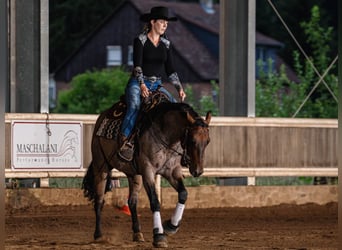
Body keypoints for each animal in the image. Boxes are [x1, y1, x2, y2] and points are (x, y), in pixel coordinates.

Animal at [83, 96, 211, 248]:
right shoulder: (148, 171)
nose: (198, 171)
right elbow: (155, 202)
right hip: (101, 166)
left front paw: (171, 226)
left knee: (132, 202)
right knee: (99, 200)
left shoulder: (172, 172)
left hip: (134, 174)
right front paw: (159, 236)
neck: (165, 134)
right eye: (192, 140)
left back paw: (137, 233)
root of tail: (101, 117)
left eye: (208, 141)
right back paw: (98, 235)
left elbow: (183, 194)